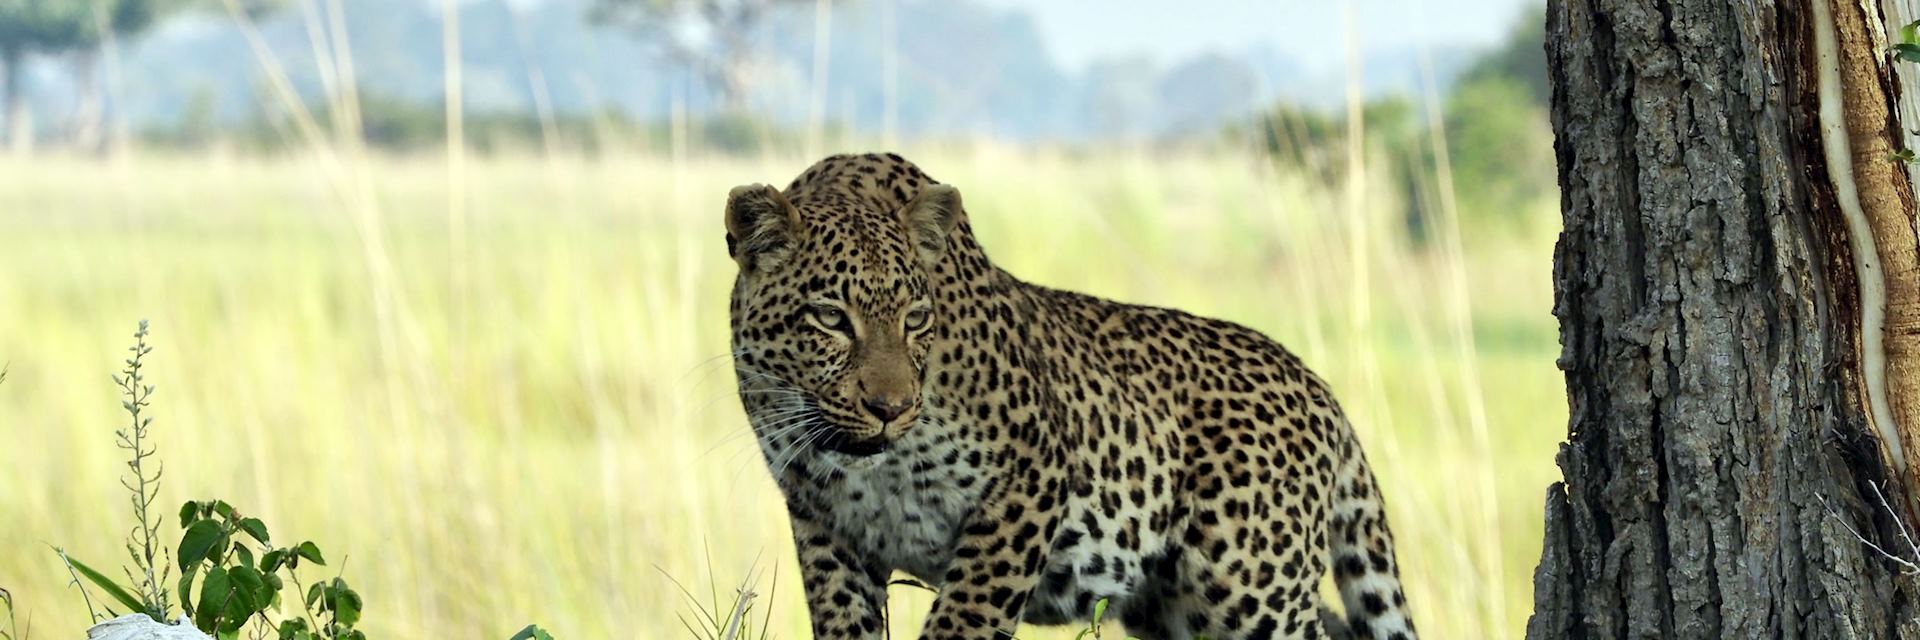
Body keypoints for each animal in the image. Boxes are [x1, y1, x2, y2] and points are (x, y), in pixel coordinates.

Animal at [721, 151, 1413, 634]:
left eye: (915, 319)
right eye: (830, 318)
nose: (890, 409)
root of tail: (1322, 391)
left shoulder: (1031, 478)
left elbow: (965, 616)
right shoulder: (826, 525)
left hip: (1249, 584)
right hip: (1181, 605)